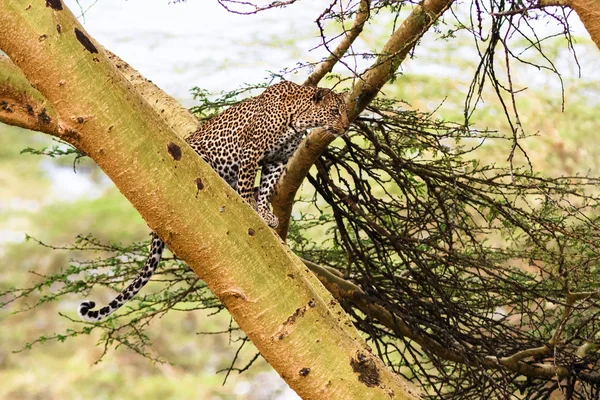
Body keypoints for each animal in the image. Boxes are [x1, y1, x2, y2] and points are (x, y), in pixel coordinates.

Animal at [77, 80, 350, 322]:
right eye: (334, 111)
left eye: (346, 111)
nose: (346, 127)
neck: (298, 119)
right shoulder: (251, 151)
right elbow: (247, 184)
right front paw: (251, 207)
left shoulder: (277, 161)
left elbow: (266, 188)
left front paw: (265, 213)